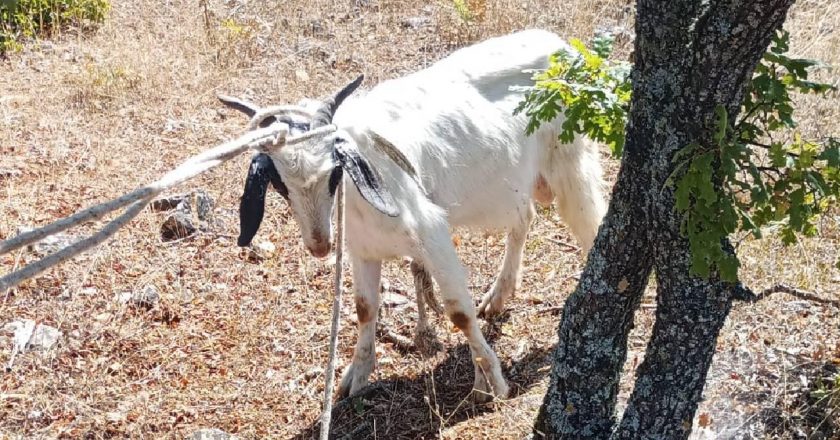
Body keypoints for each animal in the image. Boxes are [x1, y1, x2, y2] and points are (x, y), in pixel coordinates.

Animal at [220, 29, 608, 402]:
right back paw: (498, 295)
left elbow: (458, 312)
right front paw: (355, 377)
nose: (319, 245)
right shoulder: (362, 248)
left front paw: (491, 384)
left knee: (591, 220)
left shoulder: (432, 233)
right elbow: (365, 308)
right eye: (278, 182)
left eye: (334, 171)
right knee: (524, 216)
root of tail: (562, 45)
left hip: (570, 165)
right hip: (514, 182)